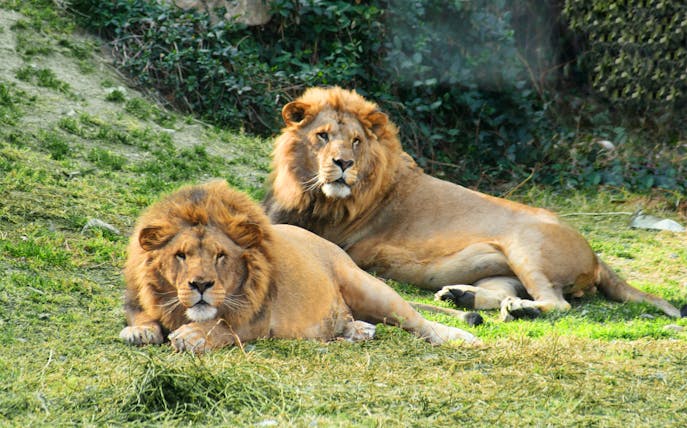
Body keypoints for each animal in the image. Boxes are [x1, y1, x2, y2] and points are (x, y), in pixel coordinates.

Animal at [119, 180, 478, 353]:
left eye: (221, 256)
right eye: (180, 255)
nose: (201, 285)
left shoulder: (260, 319)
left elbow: (223, 326)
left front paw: (191, 335)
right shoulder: (138, 298)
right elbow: (142, 315)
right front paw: (140, 330)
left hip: (368, 287)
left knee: (418, 321)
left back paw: (461, 337)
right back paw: (356, 330)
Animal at [263, 86, 683, 320]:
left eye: (356, 141)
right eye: (322, 136)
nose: (343, 164)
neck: (310, 191)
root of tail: (596, 255)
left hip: (527, 247)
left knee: (556, 304)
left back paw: (521, 310)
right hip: (501, 268)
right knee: (504, 292)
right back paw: (461, 295)